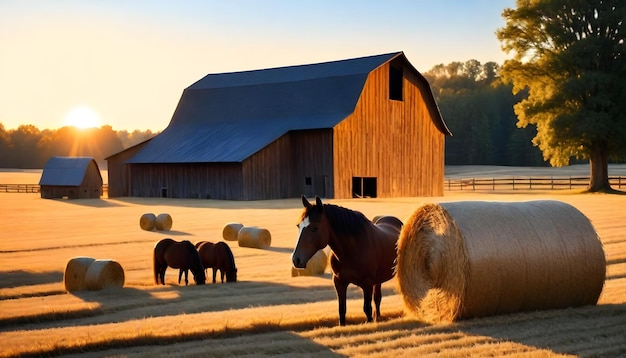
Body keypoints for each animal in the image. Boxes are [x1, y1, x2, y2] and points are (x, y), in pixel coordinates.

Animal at [292, 196, 402, 324]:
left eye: (315, 228)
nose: (296, 259)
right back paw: (377, 317)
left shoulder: (367, 283)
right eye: (298, 226)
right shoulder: (339, 282)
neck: (350, 251)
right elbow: (342, 310)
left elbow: (367, 309)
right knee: (377, 298)